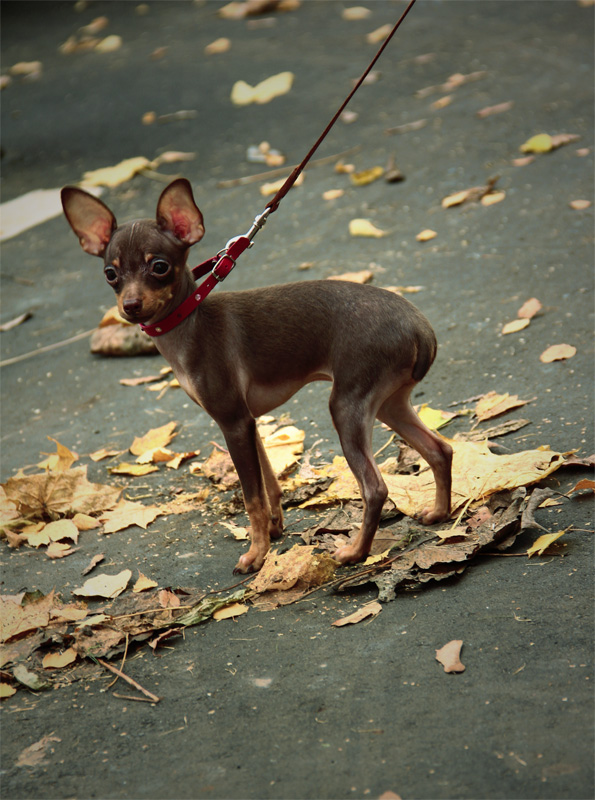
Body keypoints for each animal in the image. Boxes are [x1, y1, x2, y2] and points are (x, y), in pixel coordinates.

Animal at [61, 178, 452, 572]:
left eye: (159, 267)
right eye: (110, 274)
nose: (130, 306)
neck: (189, 321)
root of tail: (420, 327)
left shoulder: (233, 422)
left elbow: (252, 498)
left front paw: (256, 554)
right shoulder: (248, 422)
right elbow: (269, 486)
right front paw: (274, 531)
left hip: (348, 405)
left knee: (376, 488)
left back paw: (355, 552)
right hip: (389, 402)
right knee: (440, 449)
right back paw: (439, 513)